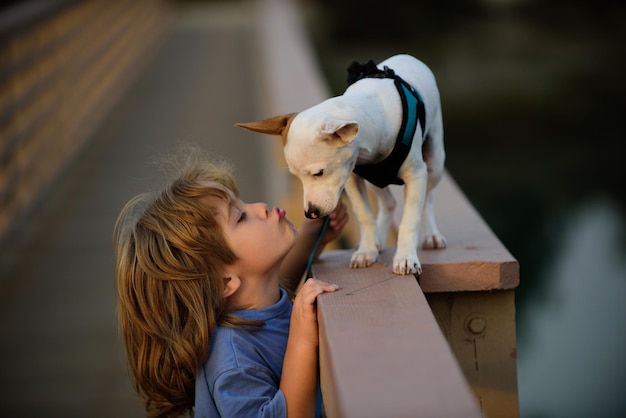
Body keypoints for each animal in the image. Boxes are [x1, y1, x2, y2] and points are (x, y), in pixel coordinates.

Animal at [236, 54, 446, 276]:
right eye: (296, 177)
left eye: (318, 173)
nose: (310, 213)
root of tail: (408, 56)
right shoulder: (351, 177)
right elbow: (364, 215)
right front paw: (367, 251)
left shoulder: (416, 174)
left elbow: (409, 220)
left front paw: (406, 258)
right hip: (376, 180)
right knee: (389, 203)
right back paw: (379, 239)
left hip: (434, 164)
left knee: (427, 197)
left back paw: (431, 235)